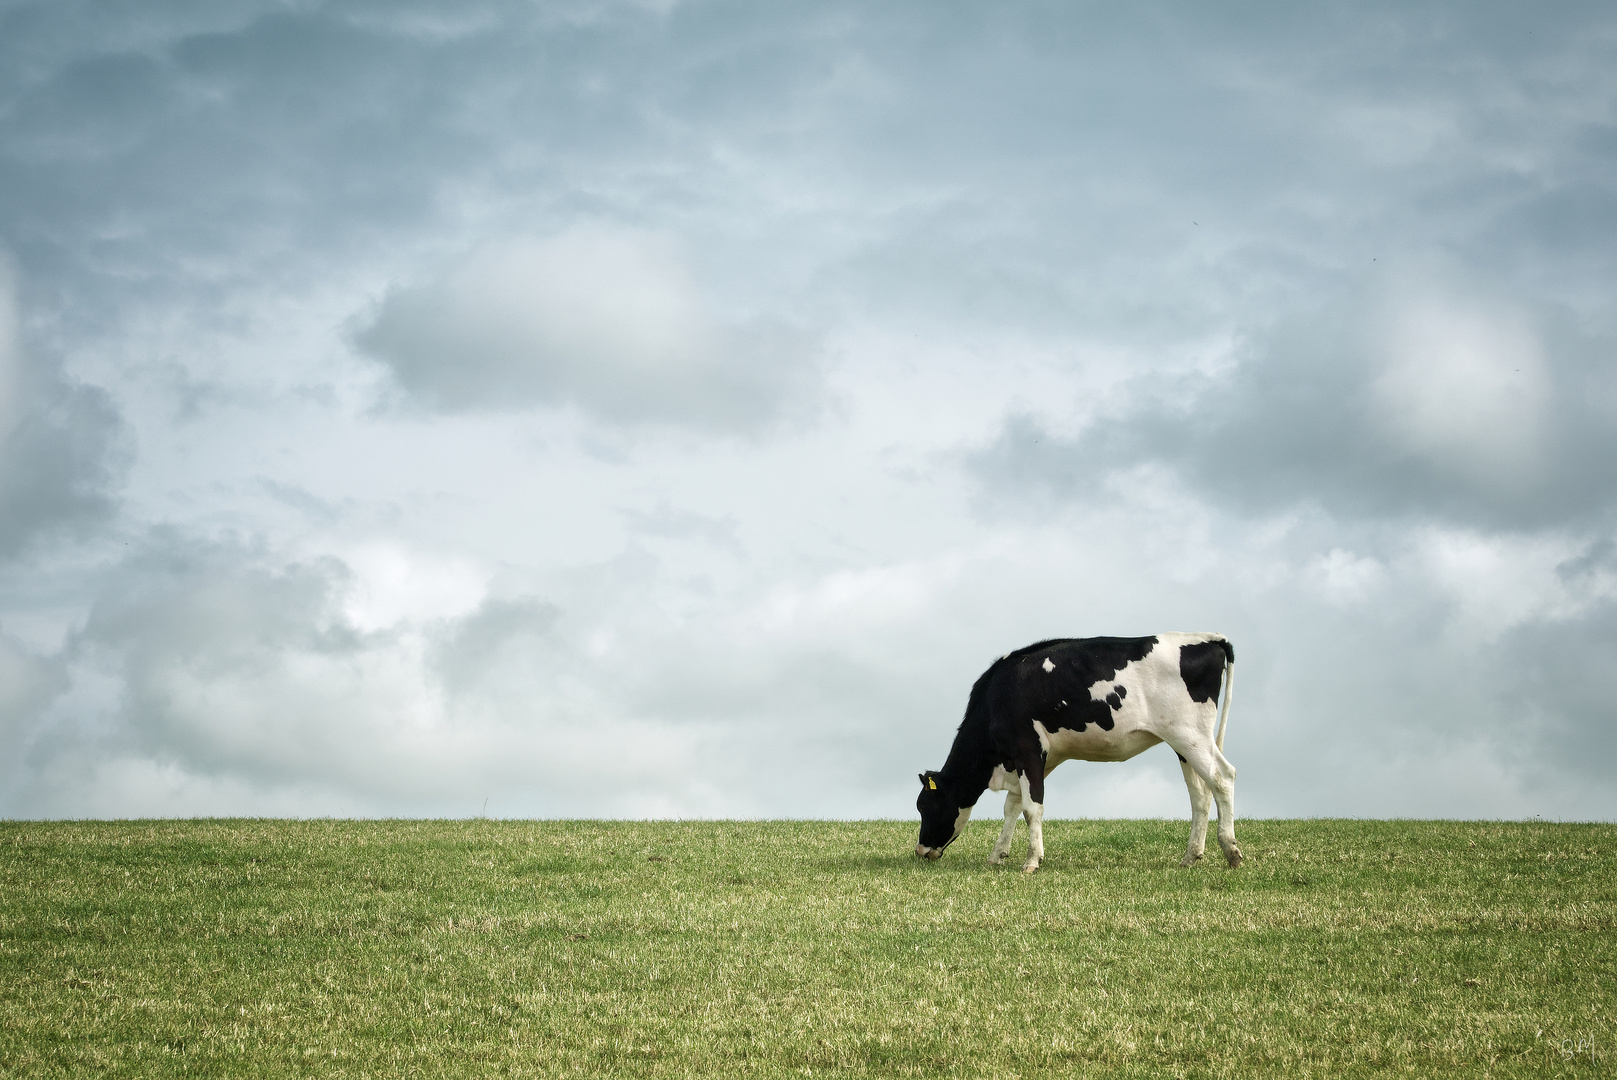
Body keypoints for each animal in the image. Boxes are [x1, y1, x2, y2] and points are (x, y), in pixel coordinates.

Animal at [918, 633, 1241, 866]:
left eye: (925, 805)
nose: (920, 850)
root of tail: (1207, 639)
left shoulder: (1027, 749)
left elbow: (1031, 808)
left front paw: (1032, 861)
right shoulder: (1035, 759)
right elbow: (1013, 806)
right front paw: (998, 855)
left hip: (1190, 734)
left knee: (1222, 777)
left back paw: (1231, 852)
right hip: (1183, 743)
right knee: (1200, 794)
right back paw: (1191, 857)